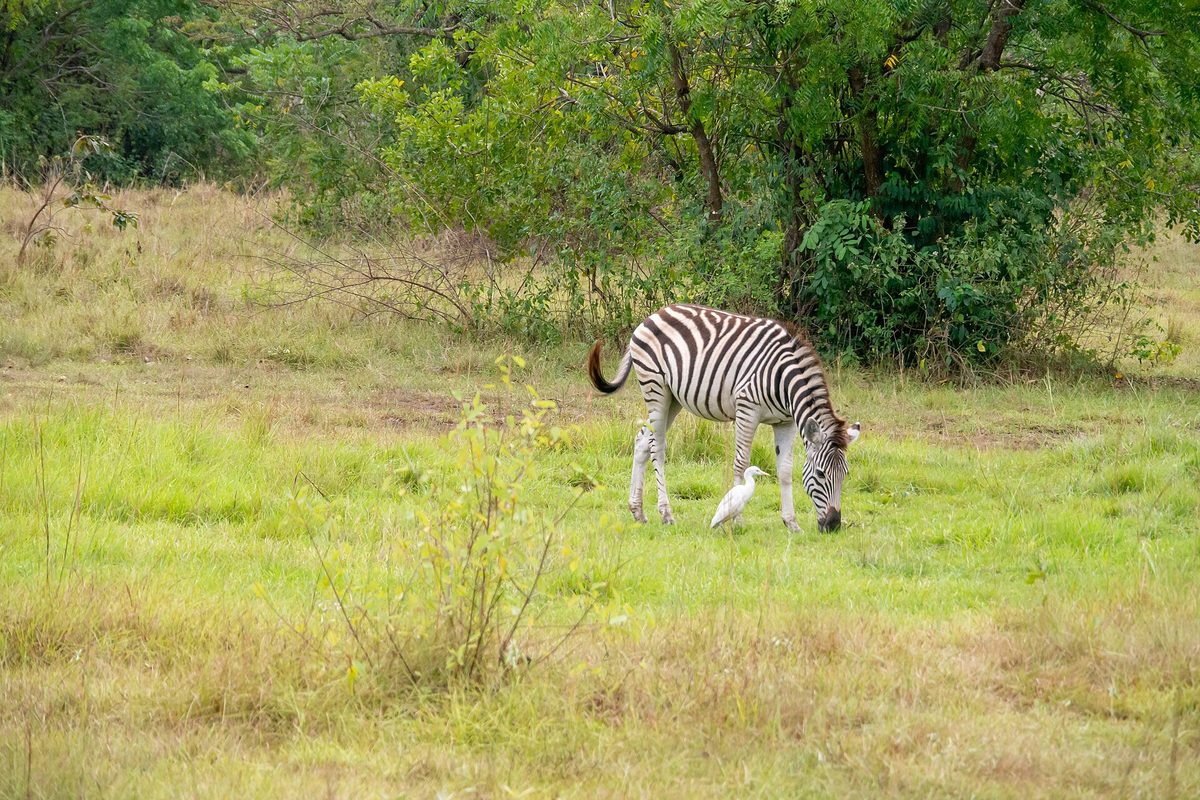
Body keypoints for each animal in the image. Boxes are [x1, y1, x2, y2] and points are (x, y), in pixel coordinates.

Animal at [587, 303, 861, 532]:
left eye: (845, 474)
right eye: (821, 475)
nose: (833, 525)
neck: (784, 380)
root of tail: (653, 315)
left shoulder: (786, 422)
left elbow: (784, 470)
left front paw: (791, 523)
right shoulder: (747, 409)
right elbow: (741, 463)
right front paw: (737, 520)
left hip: (673, 398)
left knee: (643, 441)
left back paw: (638, 512)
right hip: (656, 388)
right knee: (657, 448)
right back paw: (666, 514)